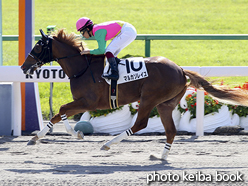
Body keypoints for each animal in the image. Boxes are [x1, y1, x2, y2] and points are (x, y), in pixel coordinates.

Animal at [21, 29, 248, 160]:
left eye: (38, 46)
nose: (24, 66)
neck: (82, 68)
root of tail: (181, 70)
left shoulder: (89, 102)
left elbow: (61, 110)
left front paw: (70, 134)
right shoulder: (82, 101)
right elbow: (59, 113)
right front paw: (37, 138)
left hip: (149, 98)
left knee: (140, 124)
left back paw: (108, 144)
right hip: (165, 104)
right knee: (170, 130)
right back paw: (161, 156)